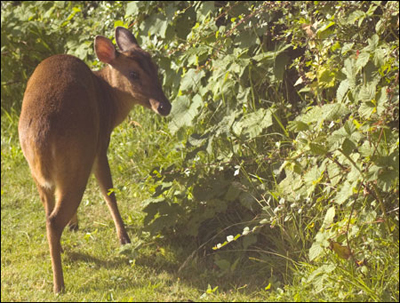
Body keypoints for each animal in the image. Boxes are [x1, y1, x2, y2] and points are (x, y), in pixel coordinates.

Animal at [18, 26, 172, 294]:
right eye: (134, 73)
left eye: (156, 68)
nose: (164, 106)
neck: (108, 98)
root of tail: (40, 137)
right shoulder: (100, 145)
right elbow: (109, 192)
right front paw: (124, 238)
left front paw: (75, 224)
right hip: (79, 158)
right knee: (53, 219)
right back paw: (59, 285)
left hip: (38, 173)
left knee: (48, 209)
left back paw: (61, 249)